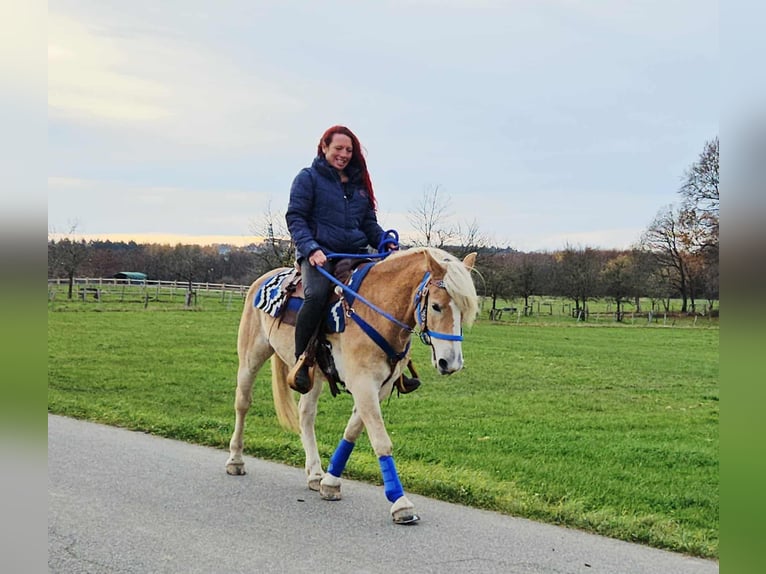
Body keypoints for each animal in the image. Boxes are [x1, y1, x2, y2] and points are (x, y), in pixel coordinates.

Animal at [225, 246, 479, 523]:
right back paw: (235, 460)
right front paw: (400, 502)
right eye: (435, 306)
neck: (375, 311)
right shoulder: (363, 384)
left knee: (306, 414)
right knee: (242, 403)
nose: (451, 363)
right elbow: (380, 440)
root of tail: (262, 280)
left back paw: (315, 473)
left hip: (312, 374)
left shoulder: (379, 388)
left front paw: (330, 482)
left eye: (465, 311)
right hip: (251, 357)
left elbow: (353, 431)